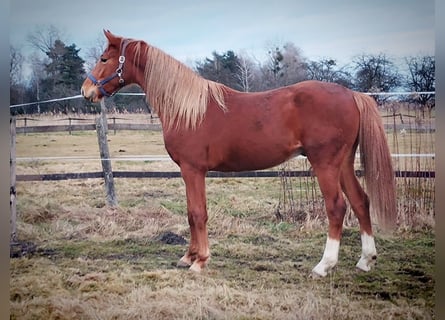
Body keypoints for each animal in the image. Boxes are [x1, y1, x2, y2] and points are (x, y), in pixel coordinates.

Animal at [82, 31, 396, 276]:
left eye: (104, 59)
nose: (86, 91)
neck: (187, 109)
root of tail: (352, 94)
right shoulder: (189, 172)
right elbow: (190, 213)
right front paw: (188, 256)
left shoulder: (192, 169)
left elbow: (198, 213)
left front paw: (200, 261)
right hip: (343, 163)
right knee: (360, 201)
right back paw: (366, 260)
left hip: (325, 164)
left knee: (337, 207)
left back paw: (324, 266)